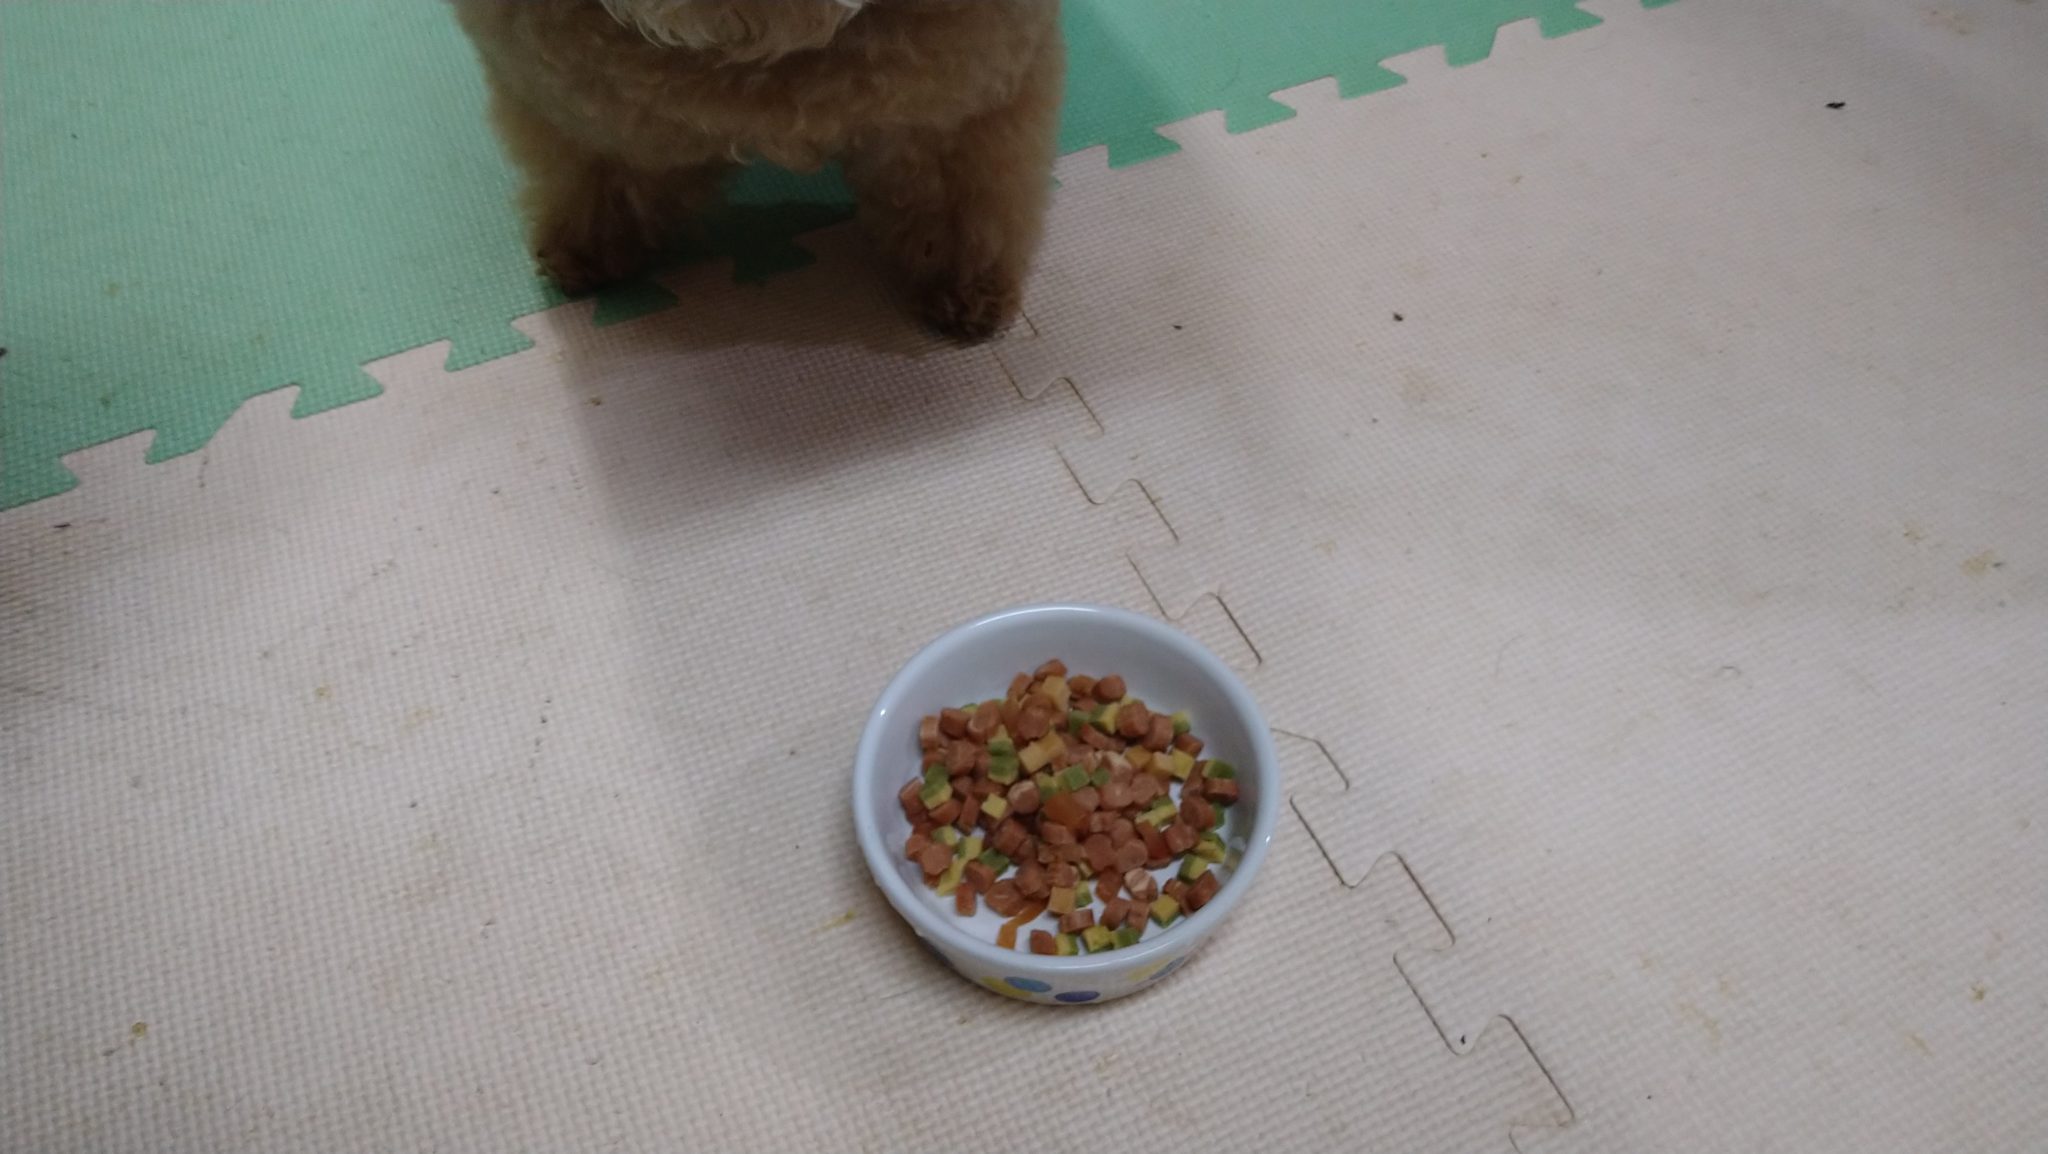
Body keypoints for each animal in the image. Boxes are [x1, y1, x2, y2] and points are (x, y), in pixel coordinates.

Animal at [452, 0, 1064, 342]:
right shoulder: (578, 101)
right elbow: (600, 174)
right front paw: (591, 247)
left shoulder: (964, 99)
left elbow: (962, 210)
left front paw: (963, 289)